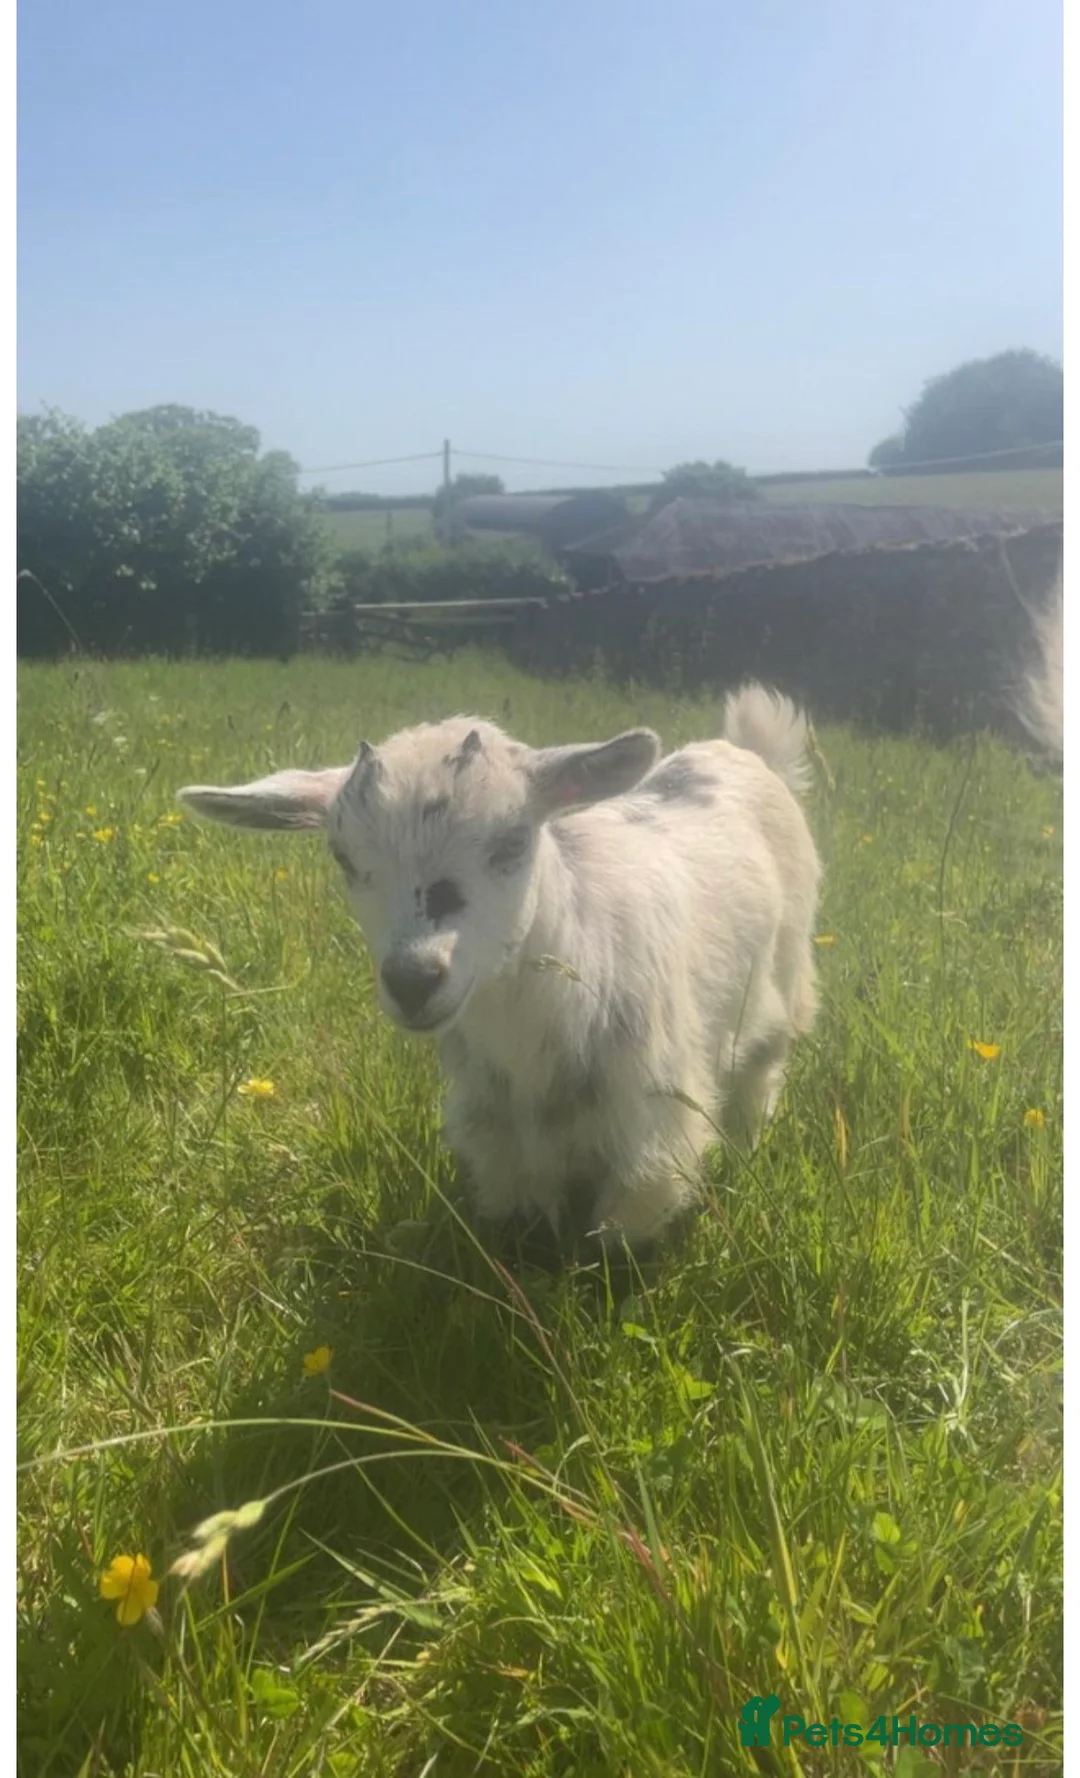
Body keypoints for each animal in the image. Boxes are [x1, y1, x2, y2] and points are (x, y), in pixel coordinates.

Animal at [178, 685, 822, 1248]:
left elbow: (613, 1257)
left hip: (782, 988)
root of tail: (741, 751)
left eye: (513, 840)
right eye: (344, 857)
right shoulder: (501, 1148)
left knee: (760, 1076)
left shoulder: (652, 1146)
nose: (414, 980)